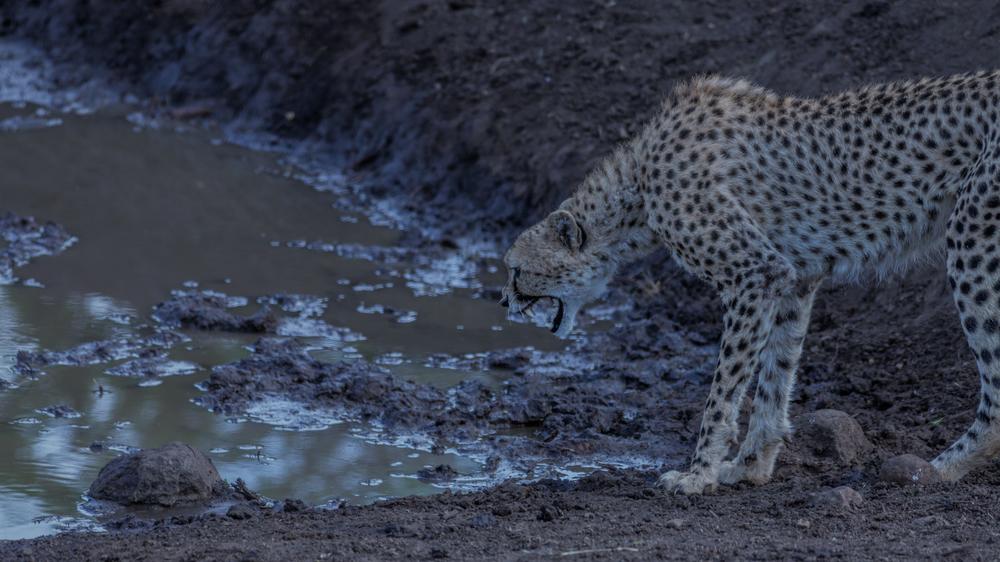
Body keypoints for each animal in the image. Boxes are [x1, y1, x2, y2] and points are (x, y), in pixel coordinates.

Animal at [501, 70, 1000, 494]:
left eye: (516, 269)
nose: (503, 301)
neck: (638, 186)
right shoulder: (794, 277)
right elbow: (775, 373)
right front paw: (751, 465)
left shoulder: (753, 274)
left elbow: (725, 388)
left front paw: (698, 473)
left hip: (971, 241)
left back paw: (938, 468)